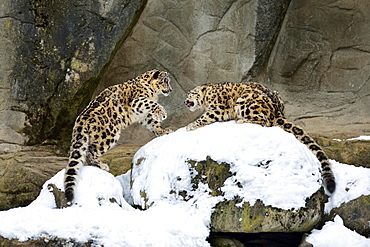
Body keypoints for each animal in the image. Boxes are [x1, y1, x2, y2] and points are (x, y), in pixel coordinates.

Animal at [64, 69, 173, 205]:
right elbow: (149, 103)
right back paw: (101, 165)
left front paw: (163, 130)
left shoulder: (144, 116)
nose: (170, 90)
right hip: (109, 134)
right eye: (166, 81)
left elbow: (153, 123)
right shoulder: (137, 101)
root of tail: (80, 120)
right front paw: (162, 113)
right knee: (90, 151)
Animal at [184, 82, 336, 194]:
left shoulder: (218, 109)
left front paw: (190, 126)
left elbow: (204, 117)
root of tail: (277, 110)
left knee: (264, 121)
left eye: (190, 93)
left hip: (245, 101)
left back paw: (241, 120)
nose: (185, 101)